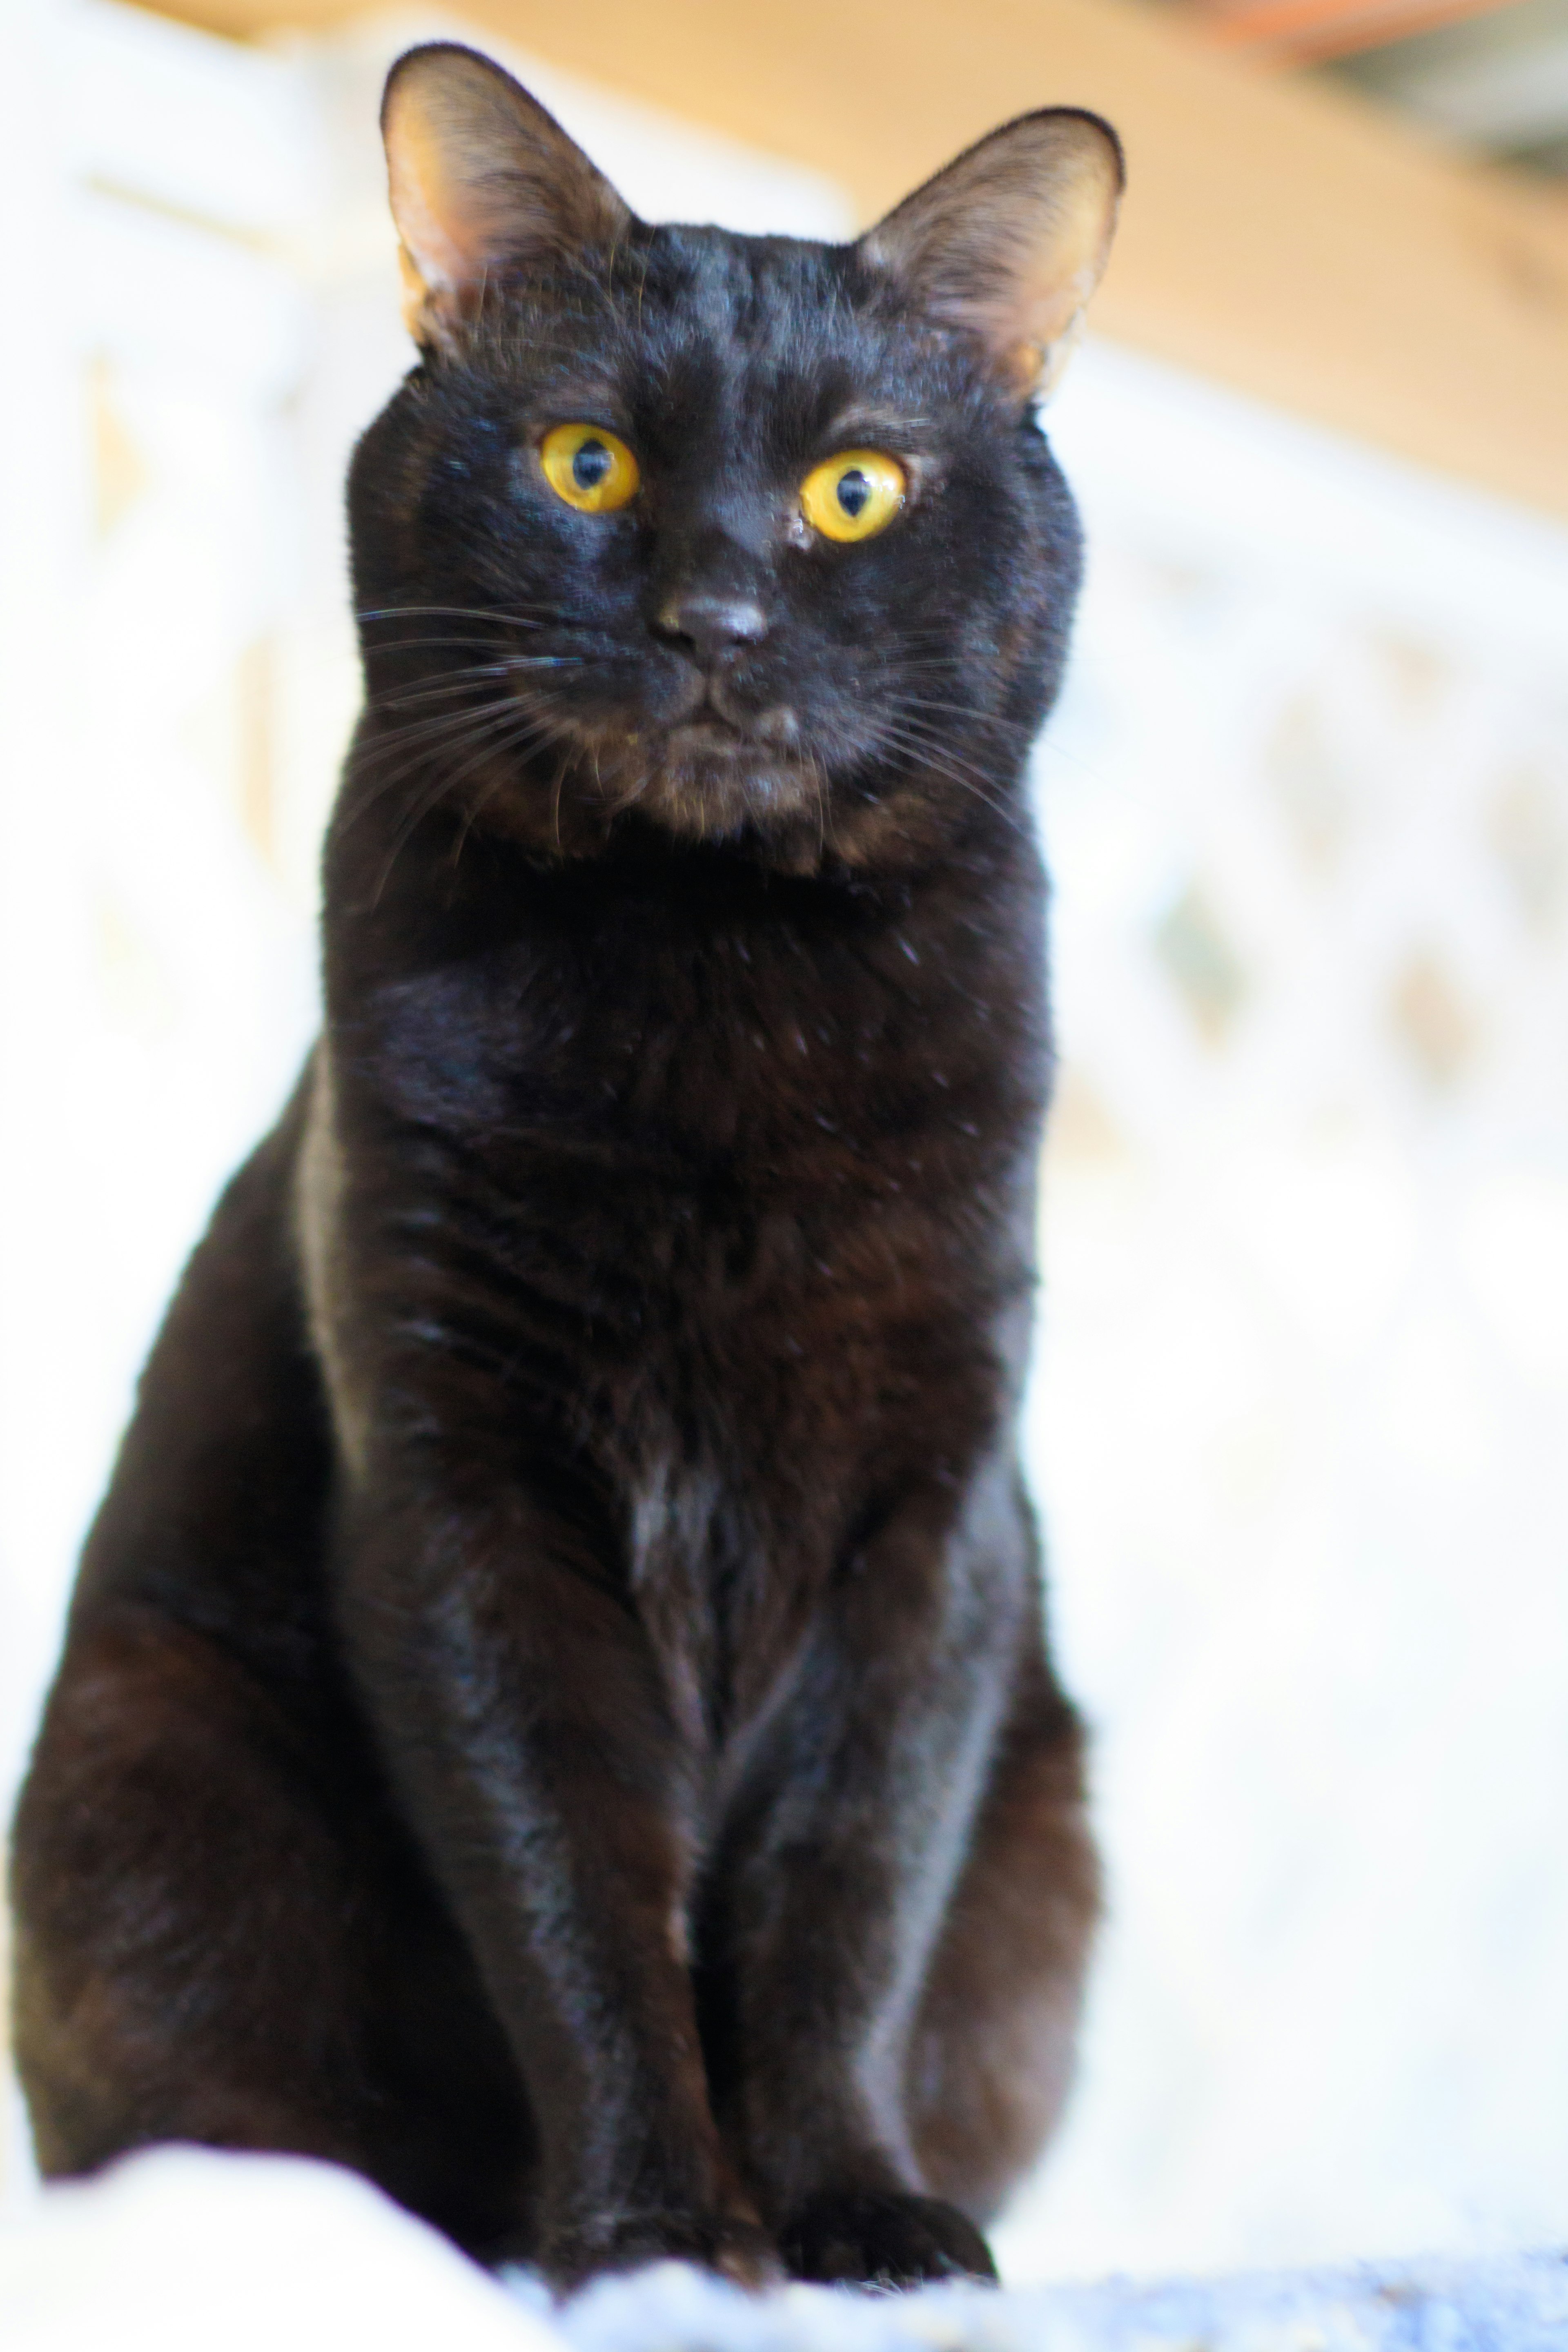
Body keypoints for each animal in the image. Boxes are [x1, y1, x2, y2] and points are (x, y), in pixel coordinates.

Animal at [9, 46, 1114, 2286]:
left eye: (856, 490)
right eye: (588, 464)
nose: (715, 617)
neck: (712, 972)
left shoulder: (927, 1519)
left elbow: (845, 1897)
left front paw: (855, 2214)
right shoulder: (465, 1488)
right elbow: (572, 1887)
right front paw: (656, 2238)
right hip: (139, 1755)